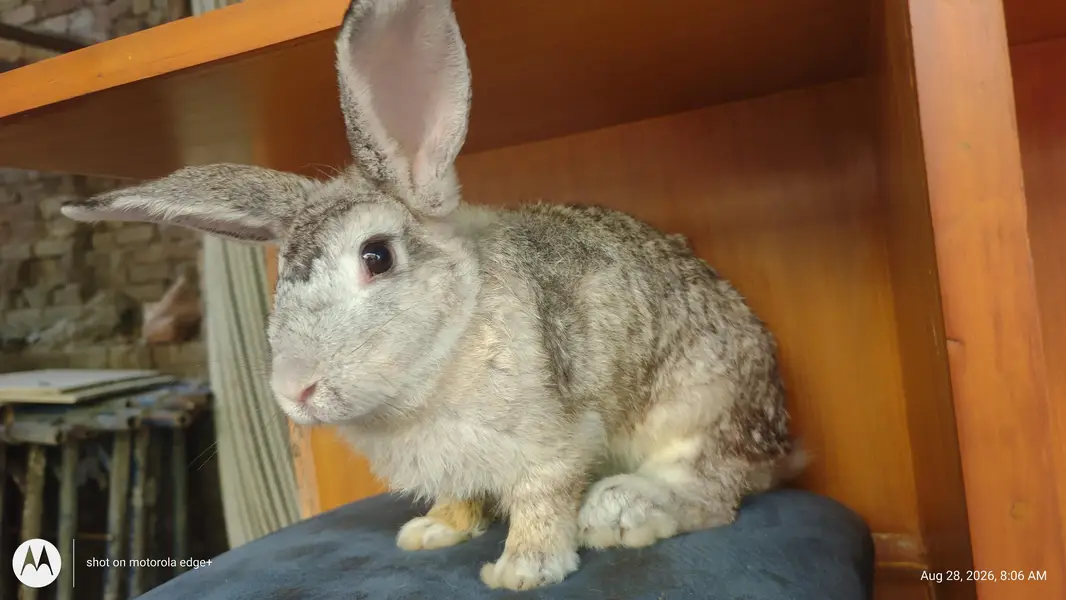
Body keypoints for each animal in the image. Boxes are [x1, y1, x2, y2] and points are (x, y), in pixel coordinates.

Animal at [60, 0, 805, 591]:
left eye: (377, 256)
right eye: (280, 278)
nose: (295, 391)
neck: (441, 353)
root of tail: (781, 436)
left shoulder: (552, 443)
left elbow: (543, 500)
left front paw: (521, 572)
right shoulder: (457, 466)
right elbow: (459, 497)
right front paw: (431, 534)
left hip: (698, 409)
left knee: (713, 494)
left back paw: (620, 512)